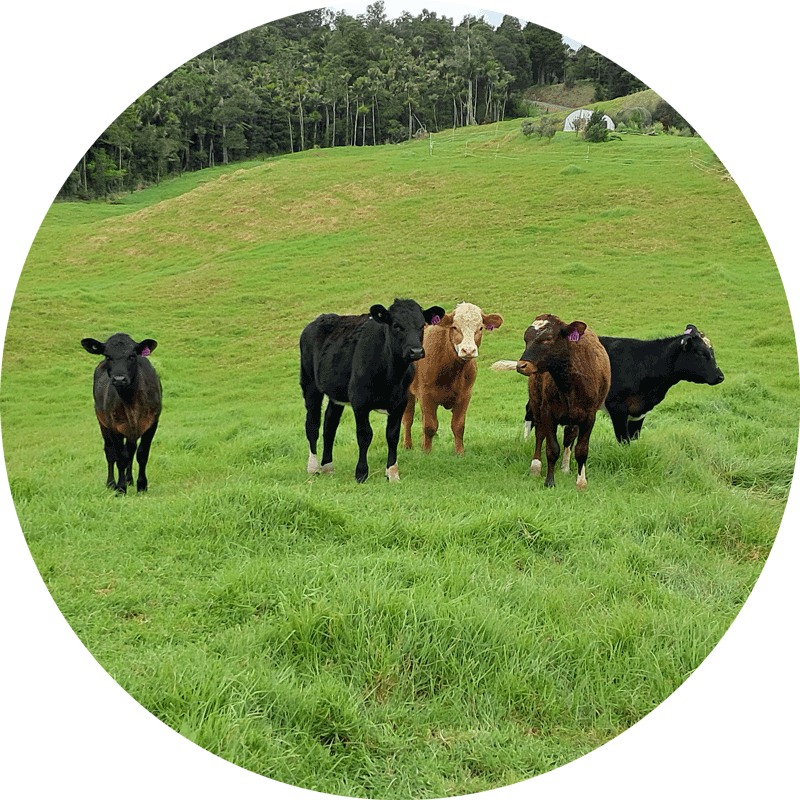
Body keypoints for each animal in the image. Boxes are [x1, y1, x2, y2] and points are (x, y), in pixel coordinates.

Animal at [81, 332, 162, 494]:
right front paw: (120, 488)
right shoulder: (114, 427)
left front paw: (141, 485)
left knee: (131, 451)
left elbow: (141, 454)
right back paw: (111, 483)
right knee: (110, 452)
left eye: (132, 355)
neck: (131, 402)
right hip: (103, 423)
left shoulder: (152, 424)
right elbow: (120, 458)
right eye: (107, 356)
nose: (119, 379)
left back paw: (130, 479)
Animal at [304, 298, 446, 482]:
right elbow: (365, 435)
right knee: (312, 424)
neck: (391, 374)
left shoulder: (400, 401)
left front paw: (392, 473)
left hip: (336, 393)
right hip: (309, 384)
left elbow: (392, 435)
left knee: (330, 424)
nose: (416, 351)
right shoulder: (359, 402)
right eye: (396, 325)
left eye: (422, 325)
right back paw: (313, 467)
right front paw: (361, 473)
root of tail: (321, 318)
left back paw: (327, 466)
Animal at [404, 304, 504, 456]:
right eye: (455, 327)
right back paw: (407, 445)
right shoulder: (426, 395)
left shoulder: (465, 396)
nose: (468, 350)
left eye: (480, 328)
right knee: (408, 419)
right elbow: (429, 425)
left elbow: (458, 426)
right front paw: (427, 452)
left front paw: (460, 452)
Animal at [516, 316, 608, 490]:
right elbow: (552, 448)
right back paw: (535, 467)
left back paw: (565, 467)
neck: (569, 382)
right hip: (536, 402)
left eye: (548, 338)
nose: (521, 365)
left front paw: (581, 482)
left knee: (569, 437)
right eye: (526, 338)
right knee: (540, 434)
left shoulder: (589, 416)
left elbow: (581, 450)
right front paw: (549, 481)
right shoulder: (547, 412)